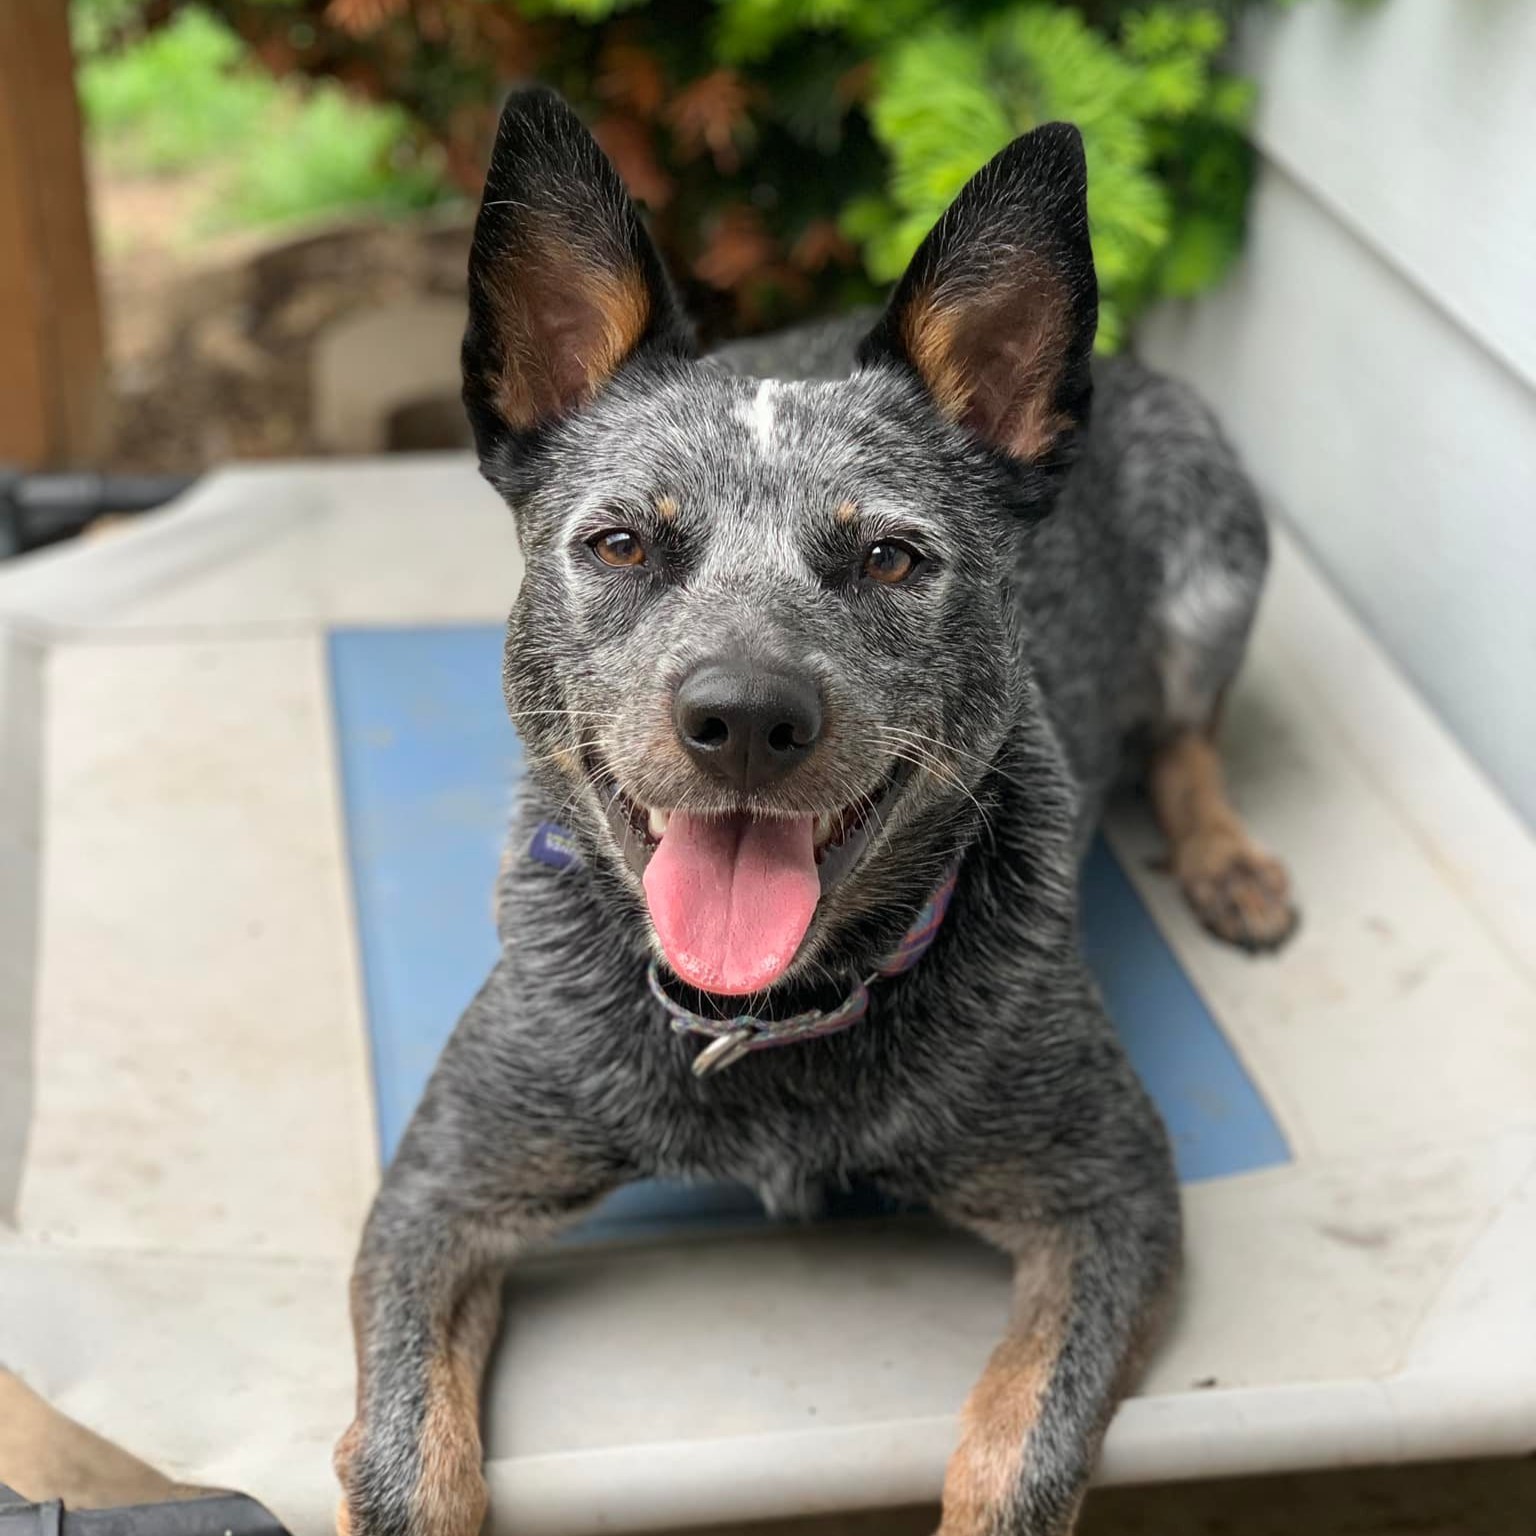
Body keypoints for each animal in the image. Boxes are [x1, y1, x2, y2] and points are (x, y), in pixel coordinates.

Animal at [336, 87, 1296, 1536]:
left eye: (891, 557)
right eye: (622, 543)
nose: (745, 716)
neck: (766, 1025)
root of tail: (1121, 368)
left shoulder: (1113, 1194)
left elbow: (1020, 1456)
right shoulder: (439, 1192)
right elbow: (403, 1461)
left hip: (1212, 563)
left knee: (1188, 737)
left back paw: (1230, 862)